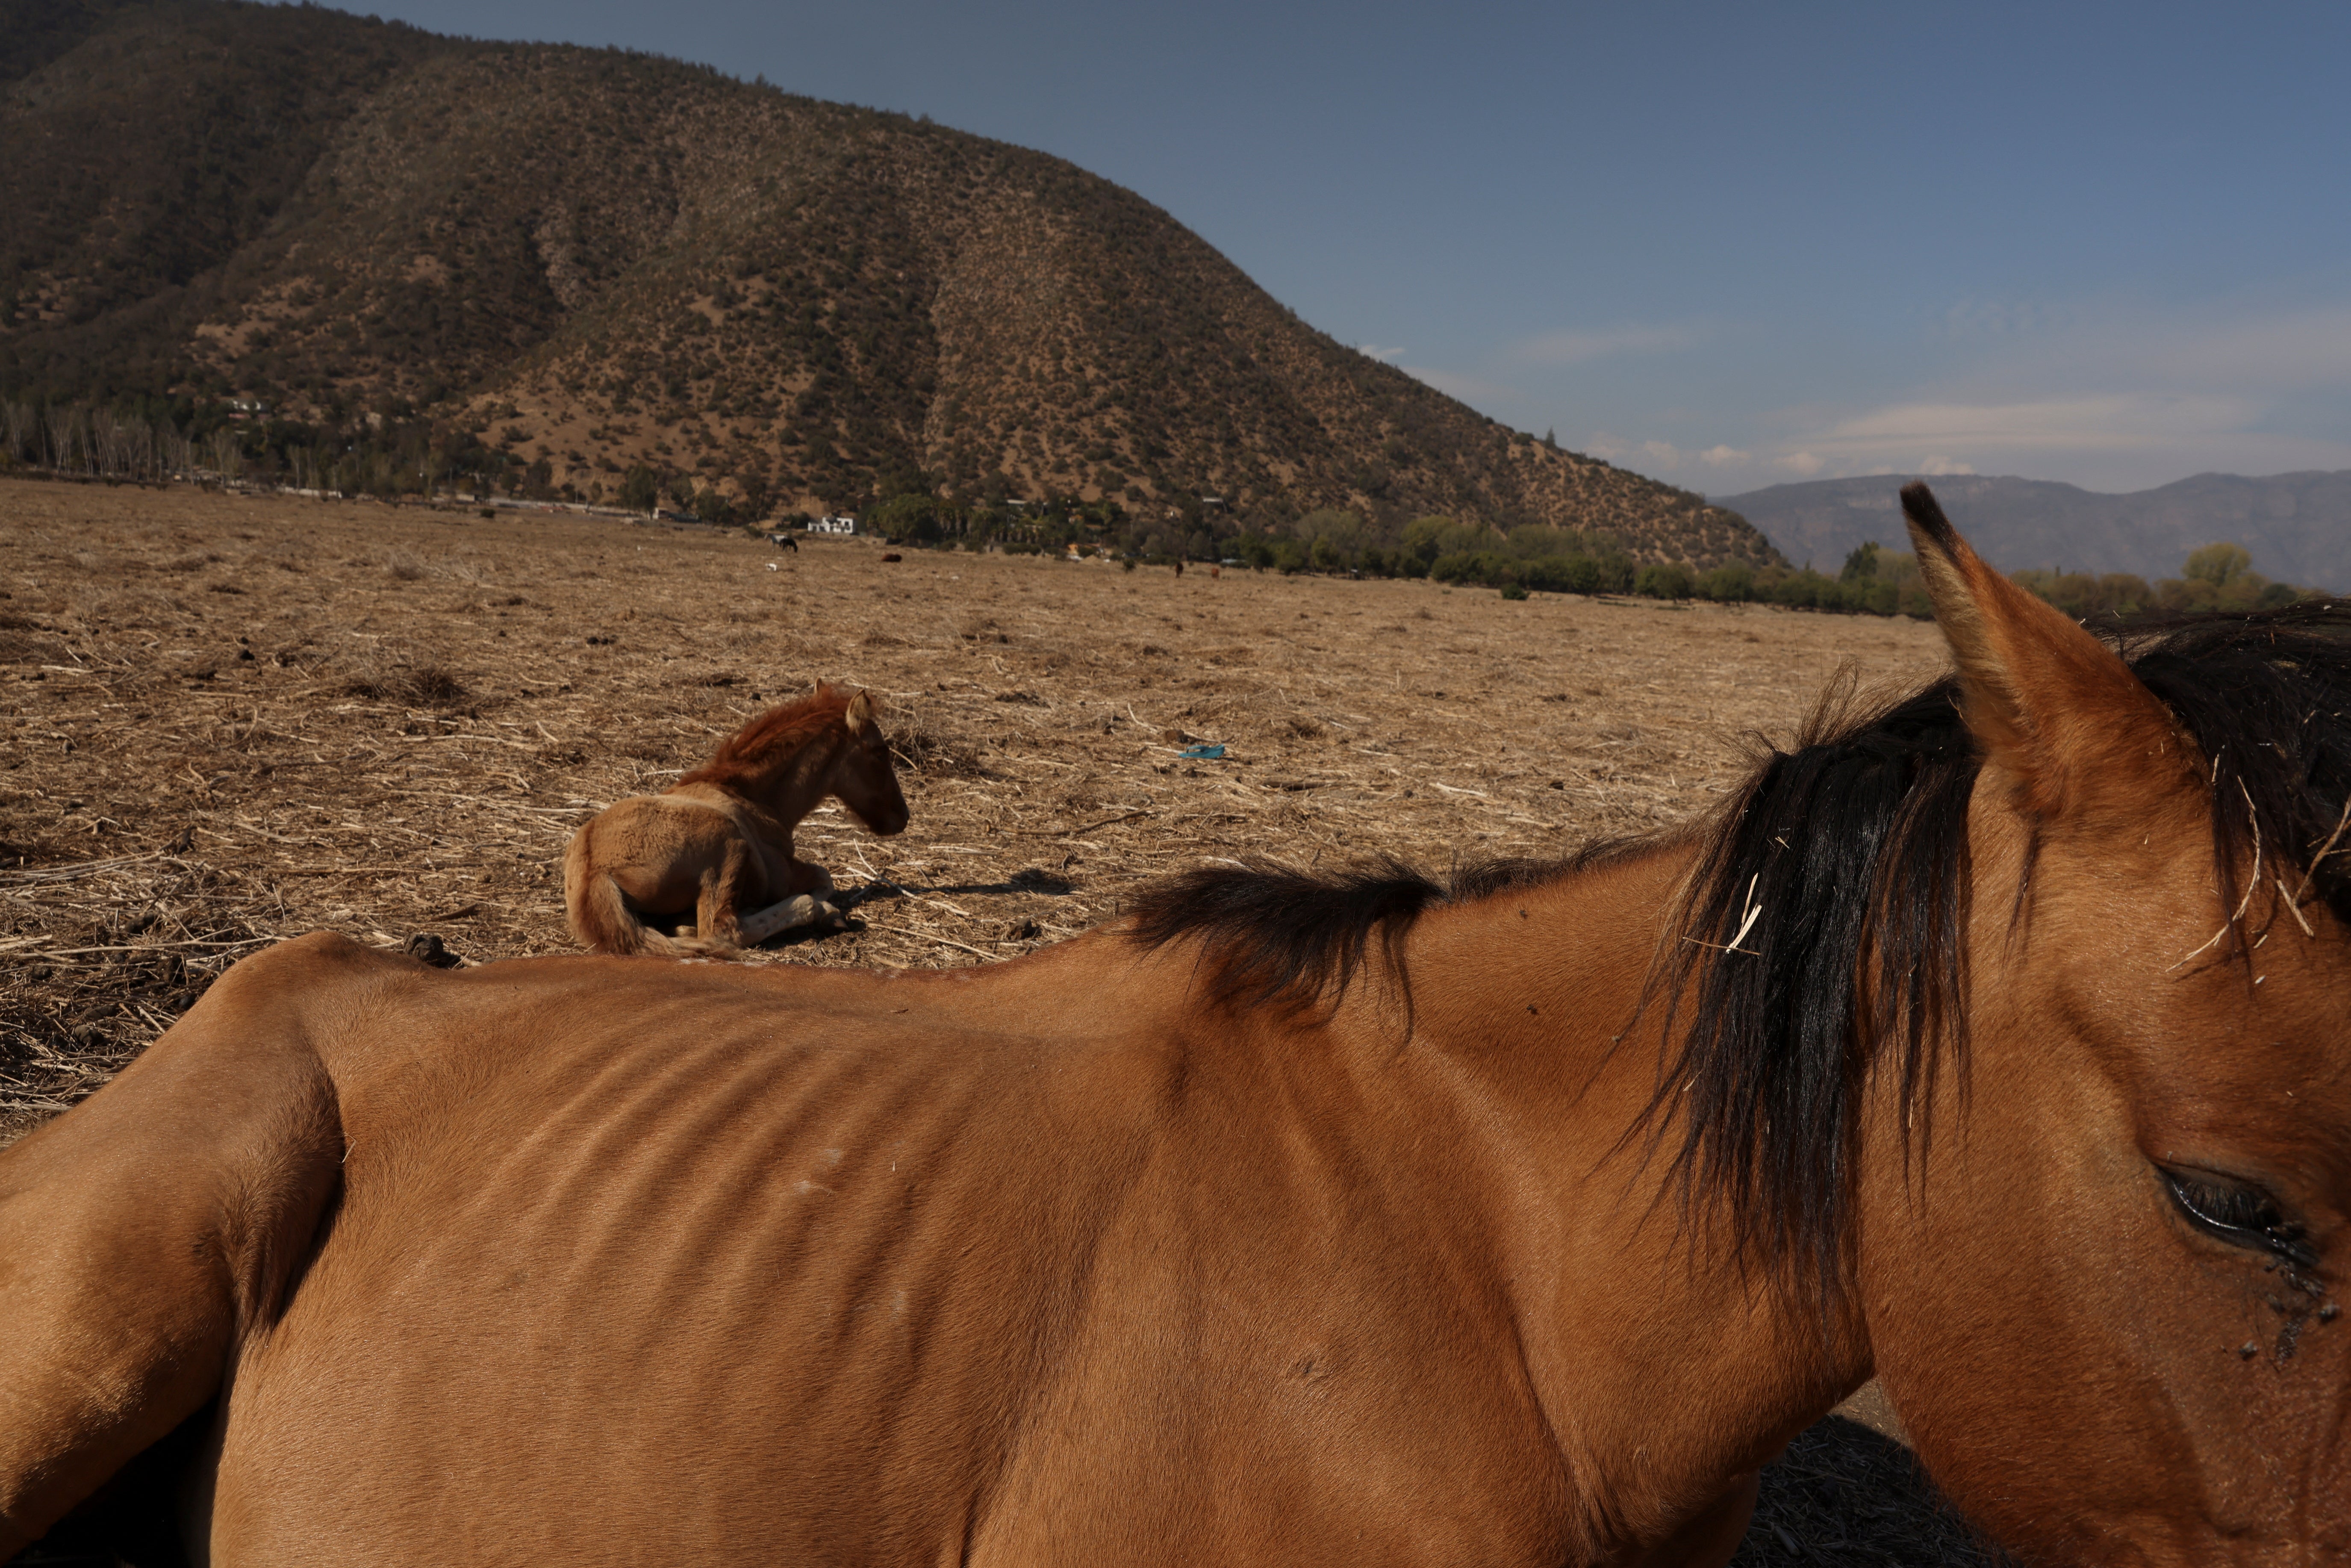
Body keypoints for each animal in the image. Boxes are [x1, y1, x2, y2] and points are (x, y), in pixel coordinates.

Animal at [560, 686, 907, 959]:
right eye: (880, 752)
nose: (902, 817)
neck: (750, 797)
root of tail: (594, 874)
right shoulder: (782, 875)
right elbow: (825, 879)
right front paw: (826, 910)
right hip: (728, 841)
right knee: (724, 931)